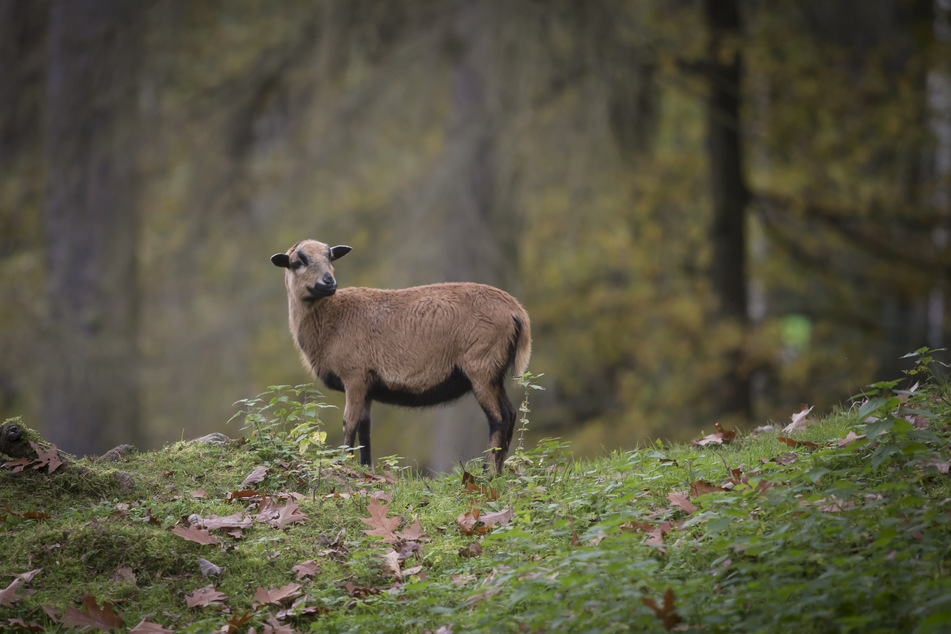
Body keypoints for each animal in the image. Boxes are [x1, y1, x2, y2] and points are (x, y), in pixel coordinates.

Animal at [272, 239, 532, 472]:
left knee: (499, 418)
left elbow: (349, 424)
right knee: (511, 414)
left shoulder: (355, 376)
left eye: (330, 257)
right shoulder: (367, 385)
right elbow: (365, 430)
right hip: (495, 371)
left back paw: (488, 474)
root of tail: (516, 311)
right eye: (298, 262)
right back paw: (499, 473)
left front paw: (343, 464)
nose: (329, 282)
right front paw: (365, 469)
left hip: (481, 365)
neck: (332, 319)